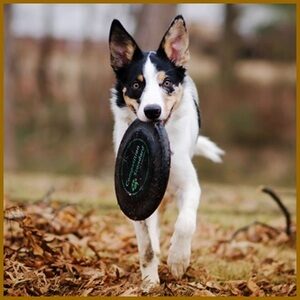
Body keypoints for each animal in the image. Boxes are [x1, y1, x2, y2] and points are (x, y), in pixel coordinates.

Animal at [109, 15, 224, 290]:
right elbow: (147, 246)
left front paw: (178, 260)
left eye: (167, 83)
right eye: (137, 85)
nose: (152, 111)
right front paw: (150, 282)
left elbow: (185, 223)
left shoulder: (189, 185)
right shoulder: (137, 207)